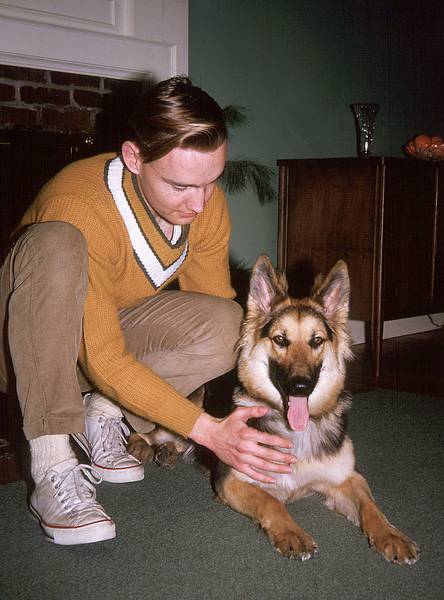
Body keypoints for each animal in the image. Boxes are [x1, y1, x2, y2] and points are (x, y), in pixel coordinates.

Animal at [127, 255, 416, 564]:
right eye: (280, 339)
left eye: (316, 341)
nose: (301, 387)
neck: (293, 430)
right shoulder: (233, 480)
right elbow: (271, 502)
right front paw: (292, 534)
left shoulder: (347, 477)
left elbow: (371, 507)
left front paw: (391, 536)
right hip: (189, 406)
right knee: (145, 430)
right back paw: (142, 448)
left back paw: (168, 453)